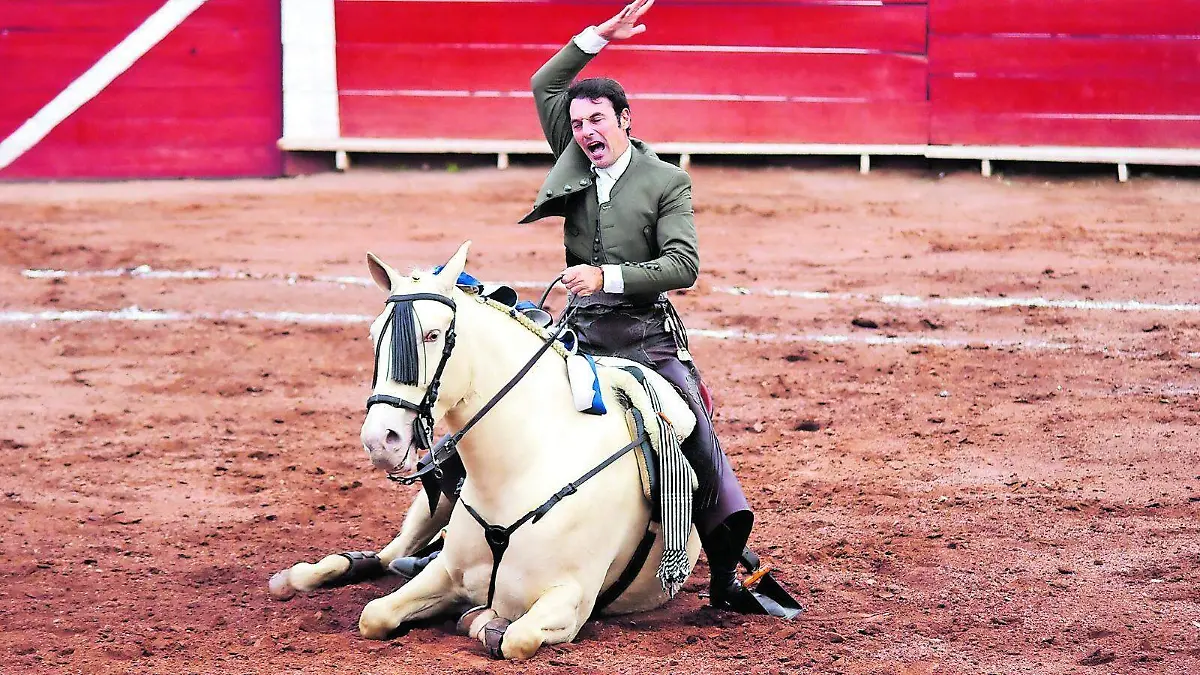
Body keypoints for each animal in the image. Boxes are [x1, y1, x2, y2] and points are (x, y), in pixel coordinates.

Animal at [270, 241, 700, 658]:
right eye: (375, 335)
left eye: (433, 335)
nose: (380, 440)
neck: (522, 467)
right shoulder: (445, 571)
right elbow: (374, 615)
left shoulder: (571, 598)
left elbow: (515, 638)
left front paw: (480, 620)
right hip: (435, 500)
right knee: (391, 553)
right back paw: (303, 575)